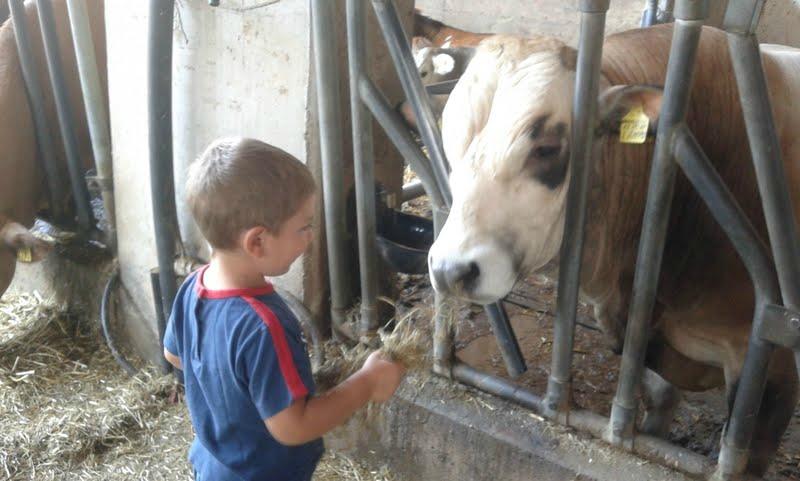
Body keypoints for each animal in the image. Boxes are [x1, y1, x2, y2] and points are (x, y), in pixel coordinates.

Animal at [428, 24, 800, 474]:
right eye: (449, 135)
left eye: (546, 148)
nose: (451, 269)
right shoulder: (640, 328)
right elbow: (658, 401)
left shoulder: (770, 371)